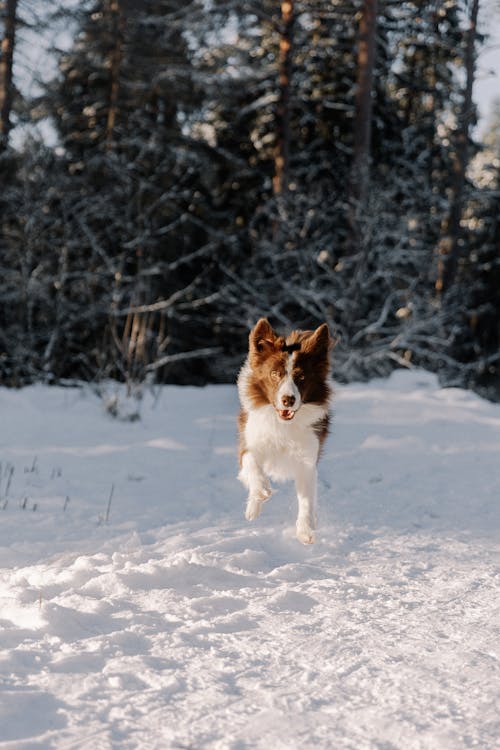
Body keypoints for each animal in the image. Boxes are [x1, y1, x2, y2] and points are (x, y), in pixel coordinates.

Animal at [237, 318, 332, 548]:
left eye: (301, 377)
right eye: (275, 374)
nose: (288, 399)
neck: (283, 424)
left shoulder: (307, 460)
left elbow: (306, 500)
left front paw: (305, 531)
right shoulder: (248, 442)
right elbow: (251, 463)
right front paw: (261, 491)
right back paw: (253, 506)